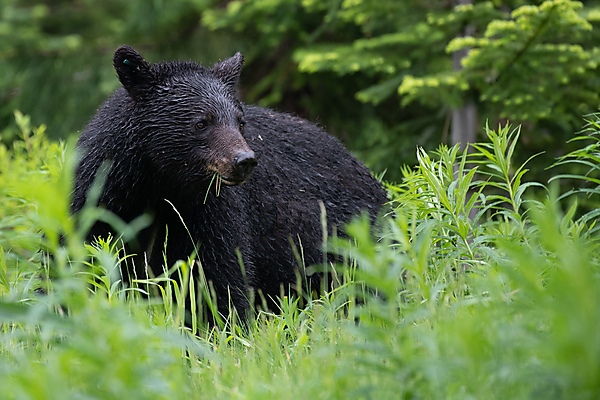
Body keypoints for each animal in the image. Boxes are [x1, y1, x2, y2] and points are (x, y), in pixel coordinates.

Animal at [71, 45, 390, 318]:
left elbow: (217, 277)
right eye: (202, 122)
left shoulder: (211, 211)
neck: (159, 185)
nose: (244, 160)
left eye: (240, 122)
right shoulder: (103, 194)